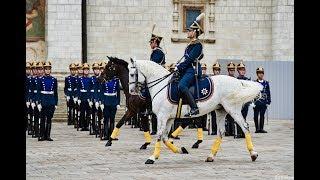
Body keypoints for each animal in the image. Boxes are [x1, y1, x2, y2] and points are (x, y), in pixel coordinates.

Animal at [127, 59, 262, 165]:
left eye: (132, 74)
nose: (131, 91)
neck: (161, 85)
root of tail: (238, 81)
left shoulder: (162, 116)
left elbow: (160, 136)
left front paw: (152, 157)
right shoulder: (169, 118)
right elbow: (165, 138)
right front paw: (181, 150)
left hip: (232, 109)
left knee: (245, 127)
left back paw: (253, 153)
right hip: (220, 111)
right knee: (221, 132)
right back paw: (211, 156)